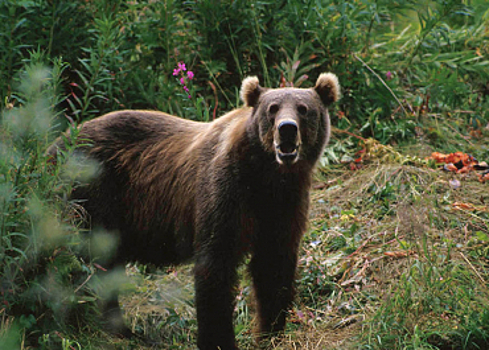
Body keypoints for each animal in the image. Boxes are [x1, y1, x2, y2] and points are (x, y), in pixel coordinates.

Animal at [49, 72, 340, 348]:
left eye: (303, 108)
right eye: (273, 108)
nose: (287, 129)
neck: (266, 176)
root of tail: (55, 144)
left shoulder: (284, 205)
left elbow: (274, 265)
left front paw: (271, 332)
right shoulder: (225, 192)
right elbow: (216, 265)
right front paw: (219, 339)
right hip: (92, 192)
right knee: (91, 260)